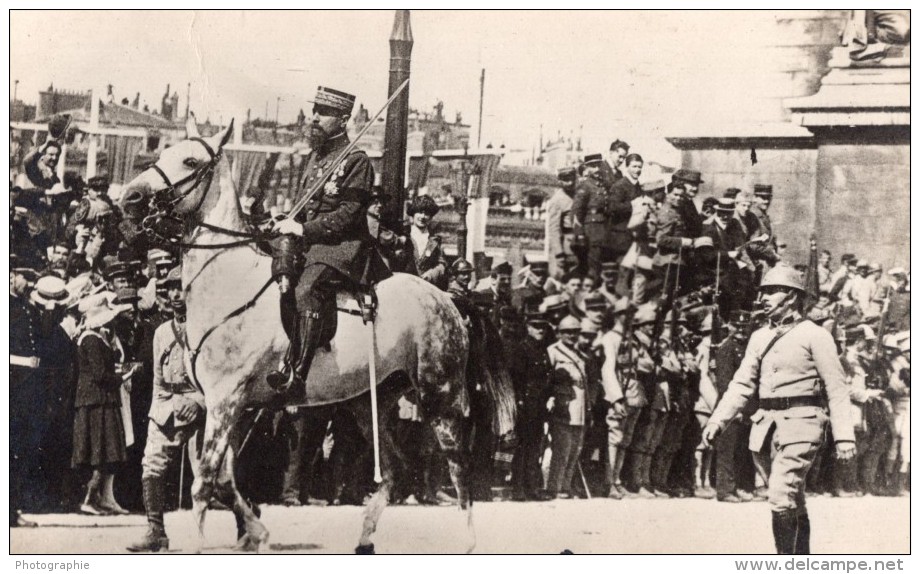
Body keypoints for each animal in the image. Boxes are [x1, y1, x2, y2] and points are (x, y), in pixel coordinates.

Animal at [121, 119, 512, 556]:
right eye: (162, 152)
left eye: (190, 161)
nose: (130, 197)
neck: (229, 282)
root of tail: (447, 299)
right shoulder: (234, 406)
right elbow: (223, 481)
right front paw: (257, 532)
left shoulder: (226, 401)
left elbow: (203, 484)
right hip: (369, 406)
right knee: (396, 470)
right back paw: (365, 539)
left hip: (439, 397)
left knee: (457, 464)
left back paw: (467, 540)